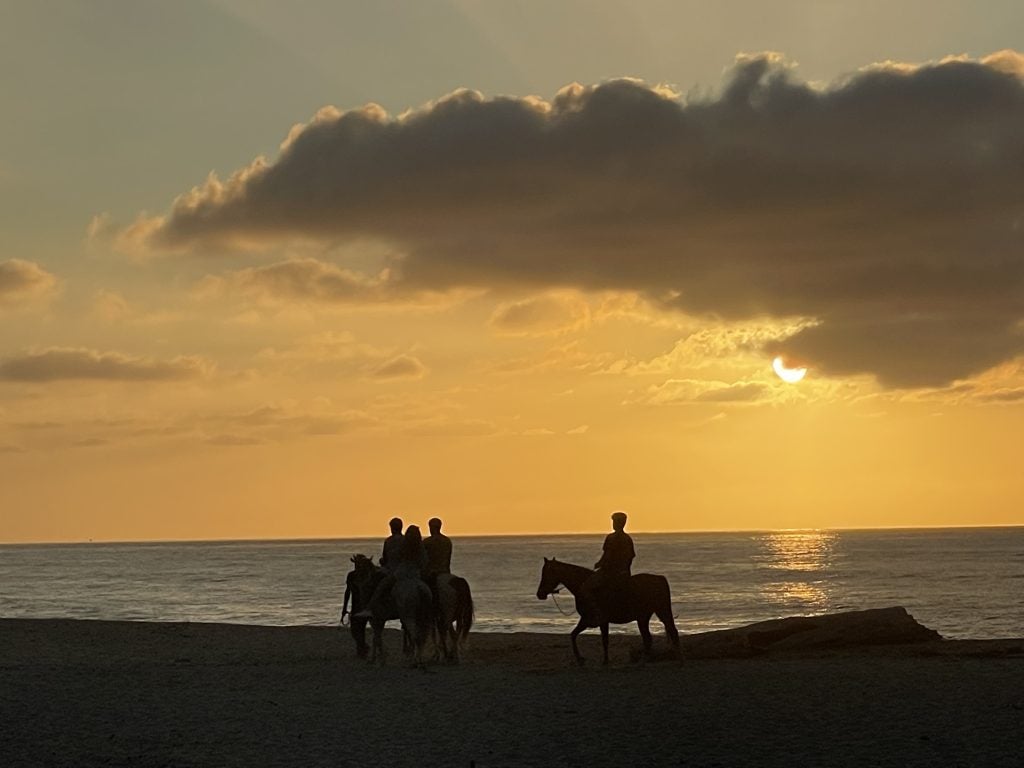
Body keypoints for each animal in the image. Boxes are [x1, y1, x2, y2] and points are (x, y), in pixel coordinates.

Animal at [536, 561, 679, 667]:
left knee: (671, 632)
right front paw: (586, 659)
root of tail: (660, 578)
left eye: (546, 573)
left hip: (661, 612)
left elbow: (602, 640)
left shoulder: (593, 620)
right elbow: (575, 635)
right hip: (644, 617)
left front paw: (595, 660)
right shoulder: (589, 621)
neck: (582, 585)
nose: (539, 594)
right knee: (649, 638)